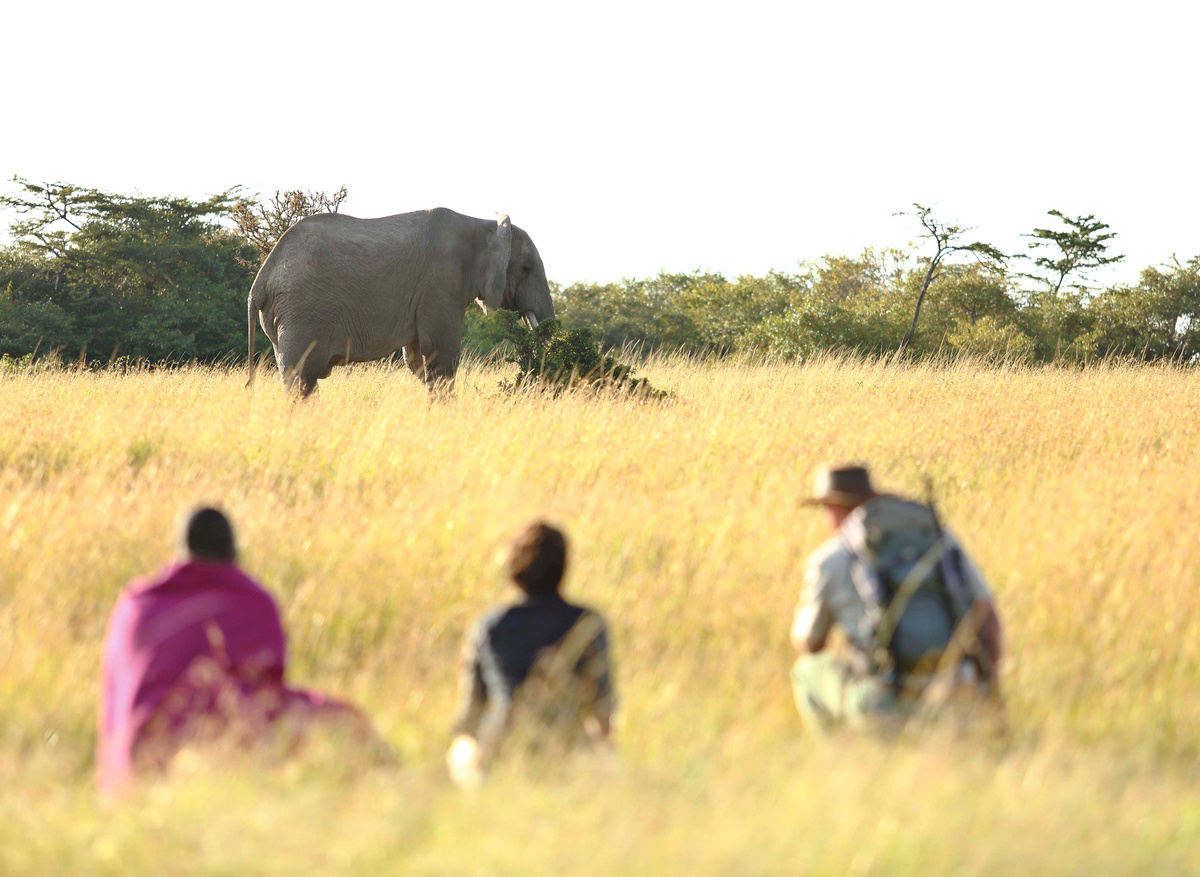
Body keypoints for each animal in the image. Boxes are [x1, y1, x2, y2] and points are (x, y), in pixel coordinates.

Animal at [246, 208, 555, 395]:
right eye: (526, 269)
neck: (483, 225)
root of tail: (259, 283)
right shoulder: (441, 283)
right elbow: (442, 353)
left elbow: (418, 358)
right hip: (300, 311)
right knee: (300, 377)